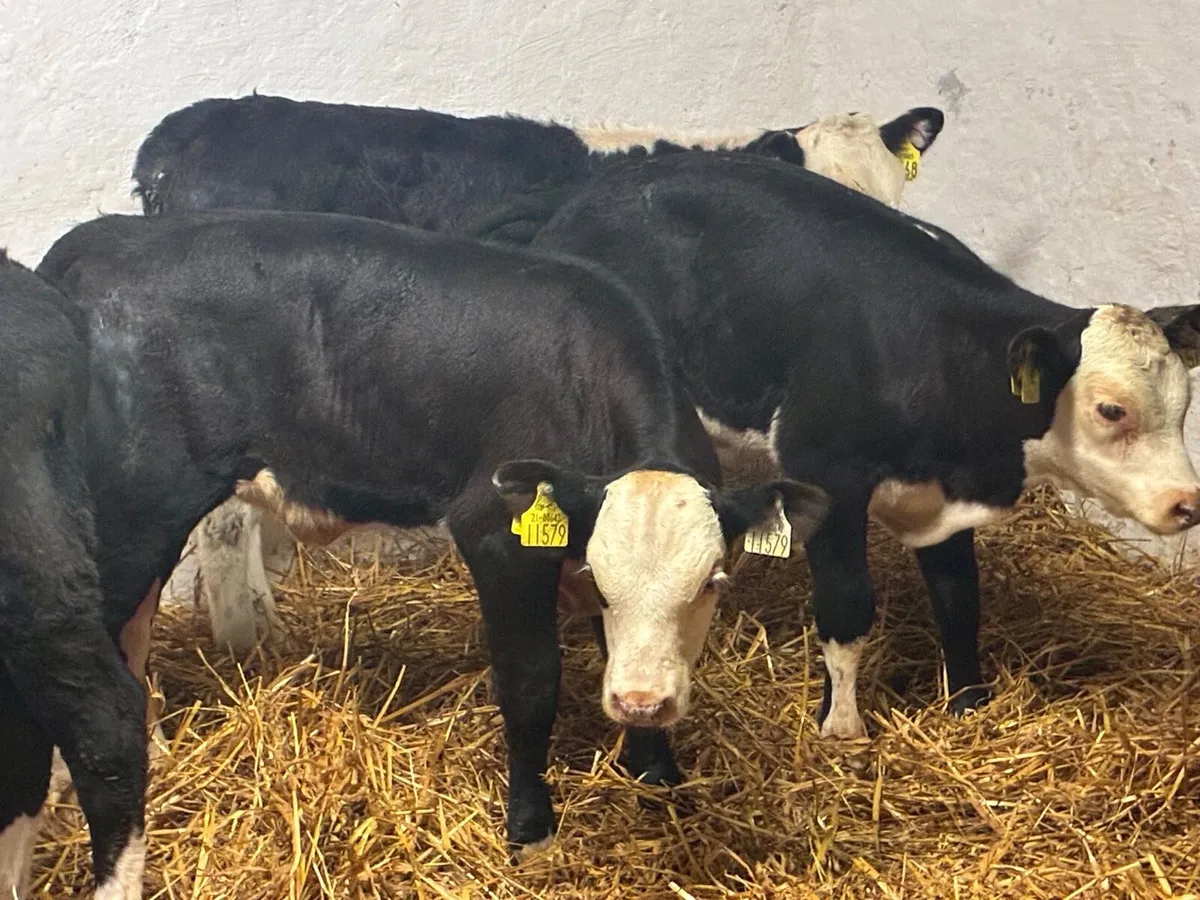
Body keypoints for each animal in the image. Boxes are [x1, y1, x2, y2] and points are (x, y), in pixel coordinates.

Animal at [36, 209, 830, 855]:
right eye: (603, 584)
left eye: (712, 584)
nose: (643, 703)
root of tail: (105, 239)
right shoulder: (497, 536)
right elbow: (531, 681)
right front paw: (531, 825)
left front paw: (657, 773)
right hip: (135, 508)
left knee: (131, 635)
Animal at [521, 150, 1200, 741]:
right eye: (1111, 409)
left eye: (1184, 403)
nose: (1186, 503)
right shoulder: (830, 473)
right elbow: (847, 610)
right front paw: (841, 729)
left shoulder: (940, 496)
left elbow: (959, 598)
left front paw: (969, 704)